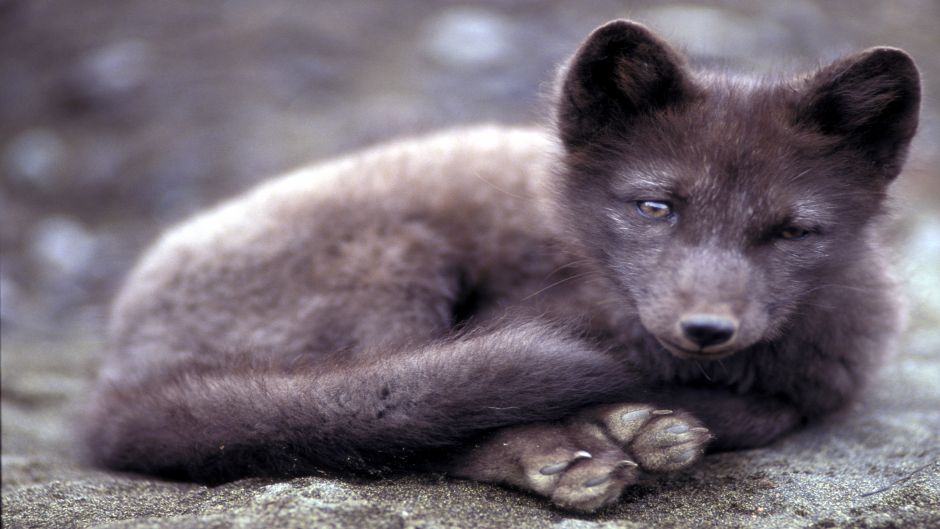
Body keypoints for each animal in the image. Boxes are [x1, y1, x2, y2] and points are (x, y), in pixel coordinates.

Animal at [84, 20, 920, 512]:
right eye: (656, 206)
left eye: (792, 230)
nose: (707, 327)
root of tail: (116, 383)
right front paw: (617, 424)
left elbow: (776, 410)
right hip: (394, 263)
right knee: (381, 419)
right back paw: (574, 452)